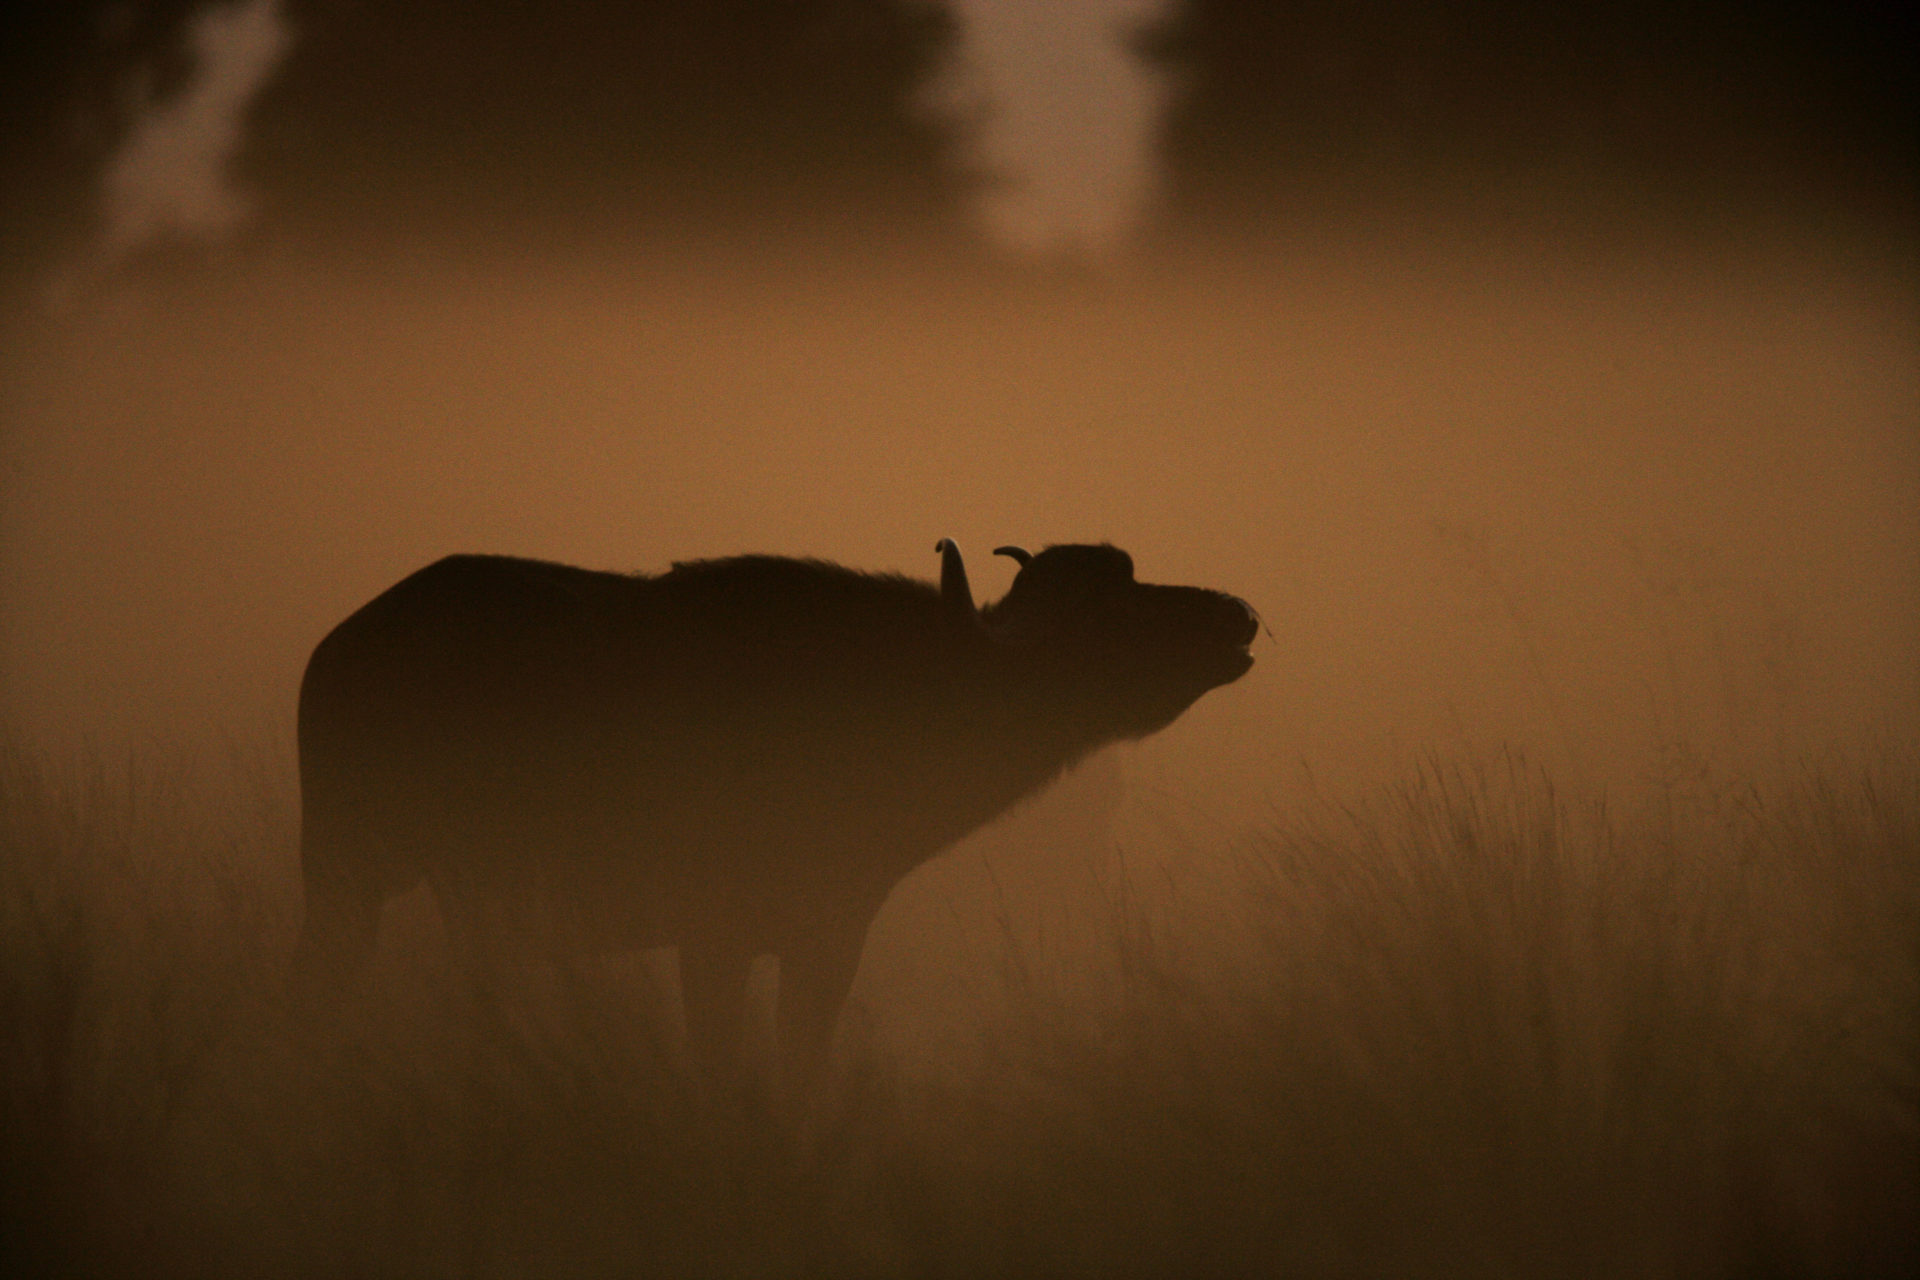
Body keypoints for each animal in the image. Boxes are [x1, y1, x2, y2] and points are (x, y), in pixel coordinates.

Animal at [291, 541, 1259, 1090]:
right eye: (1109, 606)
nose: (1237, 612)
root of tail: (340, 649)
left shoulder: (829, 939)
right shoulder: (713, 941)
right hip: (357, 883)